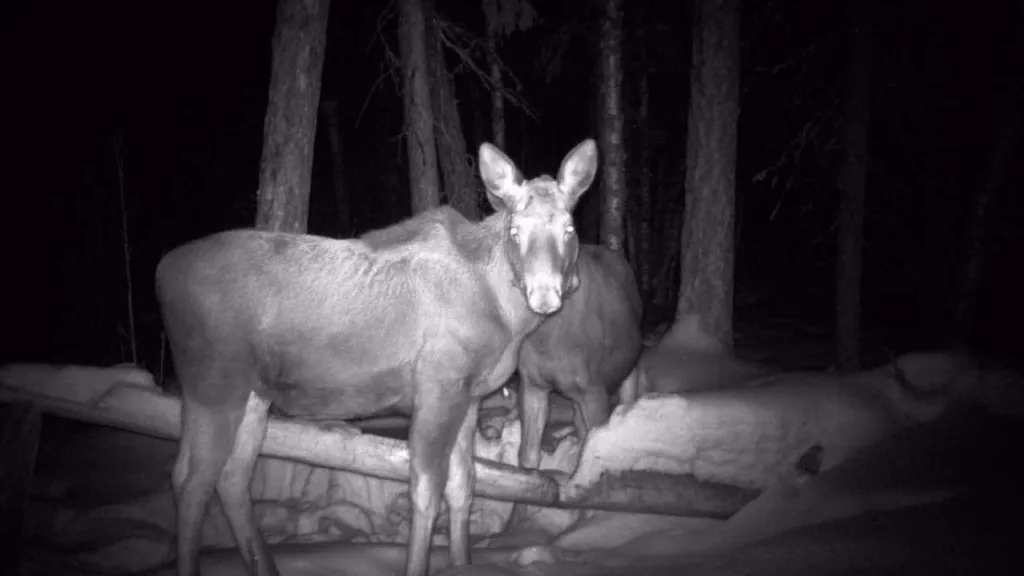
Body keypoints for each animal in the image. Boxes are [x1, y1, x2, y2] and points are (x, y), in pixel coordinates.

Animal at [154, 139, 598, 573]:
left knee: (229, 478)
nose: (546, 295)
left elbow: (464, 487)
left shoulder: (470, 395)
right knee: (191, 481)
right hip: (213, 383)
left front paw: (463, 563)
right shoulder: (438, 385)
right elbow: (426, 492)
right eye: (515, 230)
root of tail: (161, 272)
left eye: (570, 228)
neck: (505, 318)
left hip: (252, 394)